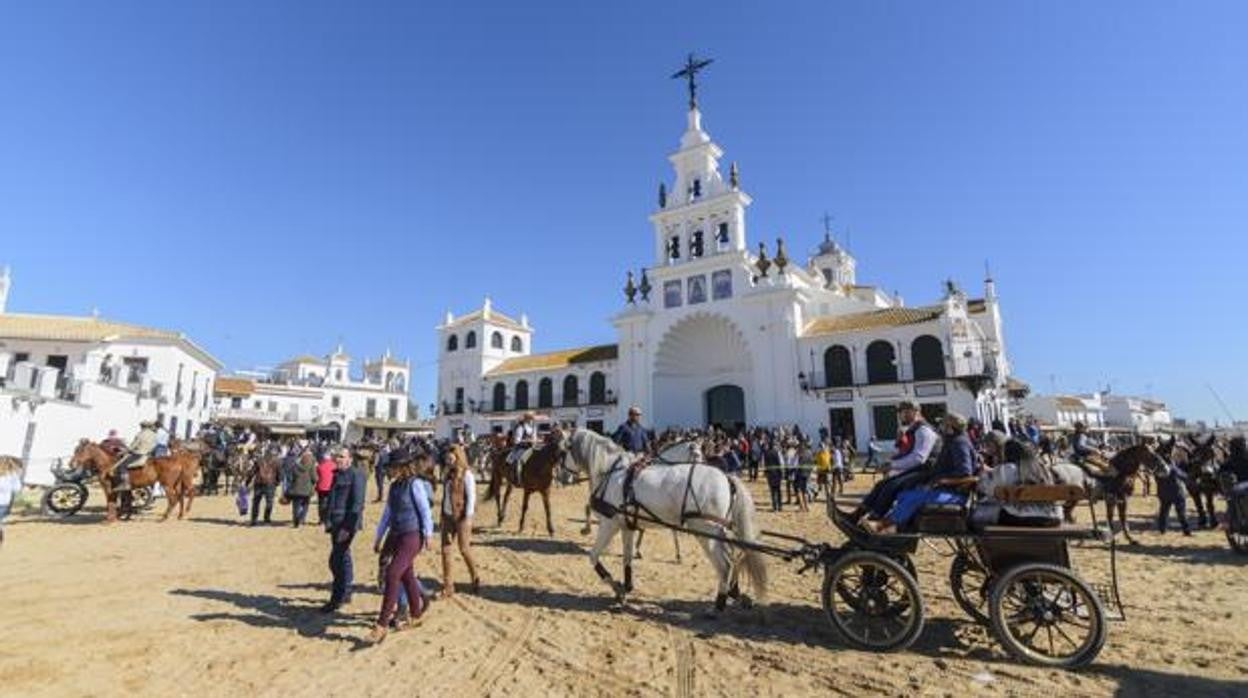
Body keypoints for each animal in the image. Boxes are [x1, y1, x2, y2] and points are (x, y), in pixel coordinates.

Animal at [70, 439, 199, 521]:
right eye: (75, 450)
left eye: (81, 450)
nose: (71, 464)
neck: (108, 464)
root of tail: (178, 461)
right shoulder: (125, 489)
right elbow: (126, 501)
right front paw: (124, 516)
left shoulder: (109, 489)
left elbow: (111, 503)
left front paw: (110, 519)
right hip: (176, 485)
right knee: (180, 497)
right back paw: (180, 515)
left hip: (167, 485)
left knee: (174, 499)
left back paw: (165, 517)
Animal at [564, 432, 758, 611]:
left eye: (565, 449)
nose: (562, 476)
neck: (611, 473)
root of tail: (726, 478)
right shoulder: (627, 526)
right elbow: (627, 559)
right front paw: (626, 588)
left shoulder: (609, 524)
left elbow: (593, 556)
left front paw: (617, 588)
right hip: (719, 530)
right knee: (734, 556)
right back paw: (735, 593)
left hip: (706, 531)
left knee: (725, 564)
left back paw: (718, 605)